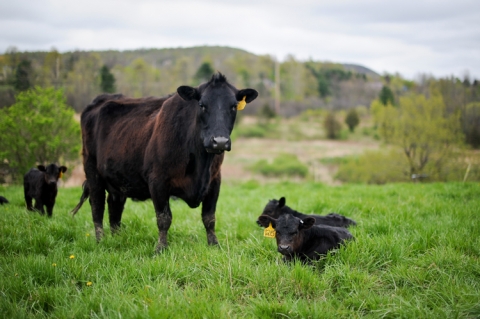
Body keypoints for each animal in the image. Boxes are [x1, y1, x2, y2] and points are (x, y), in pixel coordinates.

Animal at [70, 72, 258, 252]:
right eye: (202, 105)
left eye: (233, 106)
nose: (219, 141)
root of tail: (99, 100)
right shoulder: (157, 181)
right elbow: (164, 218)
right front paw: (161, 248)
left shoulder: (214, 181)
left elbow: (209, 218)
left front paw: (214, 246)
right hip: (92, 172)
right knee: (97, 206)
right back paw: (100, 241)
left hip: (118, 180)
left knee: (114, 208)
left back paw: (117, 239)